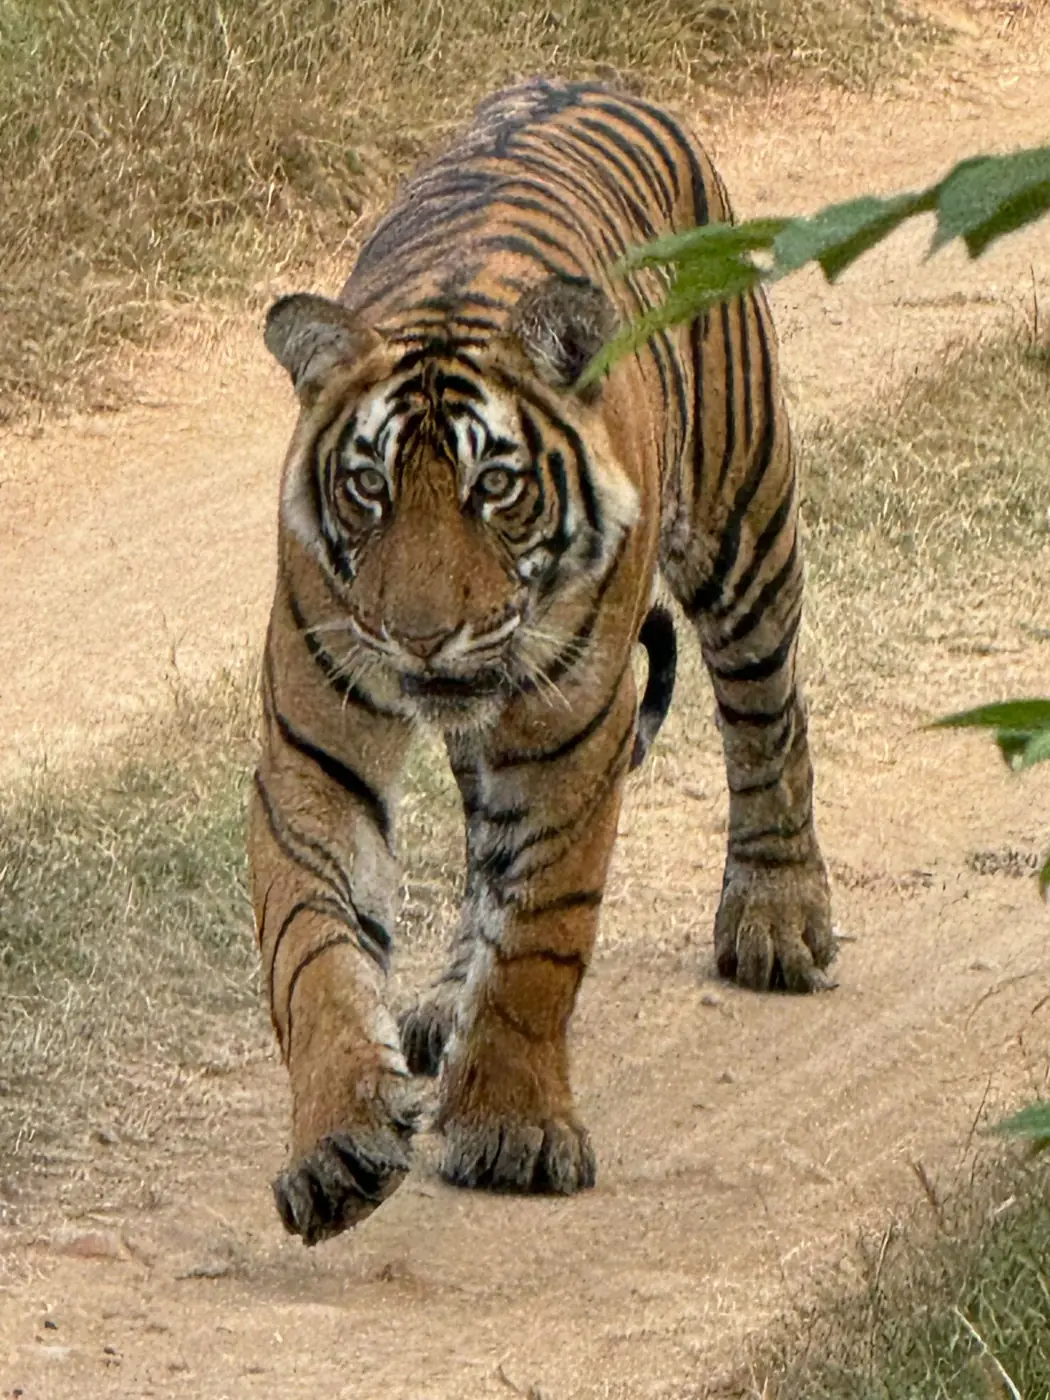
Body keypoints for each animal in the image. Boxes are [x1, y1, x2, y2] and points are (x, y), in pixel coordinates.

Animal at [252, 77, 835, 1246]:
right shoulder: (311, 748)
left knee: (767, 712)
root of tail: (594, 78)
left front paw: (510, 1129)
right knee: (486, 843)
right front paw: (336, 1146)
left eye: (496, 487)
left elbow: (544, 932)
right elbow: (312, 952)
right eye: (369, 487)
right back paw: (443, 999)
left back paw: (777, 915)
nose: (420, 635)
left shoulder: (576, 730)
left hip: (744, 520)